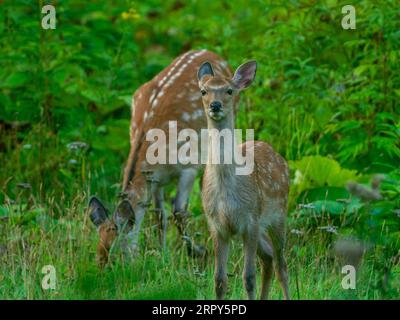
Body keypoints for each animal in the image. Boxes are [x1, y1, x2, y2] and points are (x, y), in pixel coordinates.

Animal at [87, 48, 231, 268]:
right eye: (98, 253)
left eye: (117, 254)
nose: (102, 272)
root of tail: (210, 52)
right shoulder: (155, 179)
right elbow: (159, 216)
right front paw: (163, 255)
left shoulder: (188, 166)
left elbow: (178, 212)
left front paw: (198, 253)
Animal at [198, 60, 290, 300]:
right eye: (204, 91)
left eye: (229, 90)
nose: (215, 105)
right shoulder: (217, 225)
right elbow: (219, 280)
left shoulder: (250, 220)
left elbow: (248, 277)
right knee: (268, 257)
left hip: (278, 214)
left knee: (281, 265)